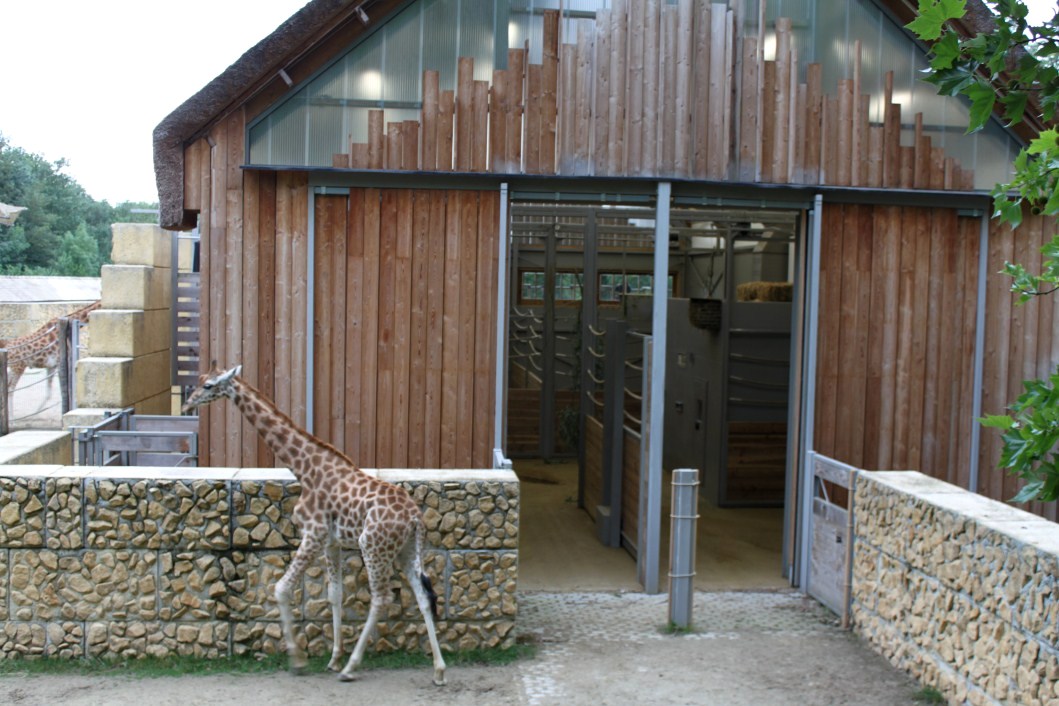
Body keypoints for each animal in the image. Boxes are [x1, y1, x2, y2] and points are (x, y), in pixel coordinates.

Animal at [182, 364, 447, 686]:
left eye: (208, 386)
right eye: (198, 381)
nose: (187, 404)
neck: (304, 468)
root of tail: (415, 518)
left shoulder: (313, 533)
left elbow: (281, 589)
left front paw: (298, 661)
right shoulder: (331, 542)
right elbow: (335, 596)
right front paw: (333, 658)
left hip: (372, 546)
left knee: (381, 598)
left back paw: (351, 668)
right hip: (406, 549)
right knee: (423, 596)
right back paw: (438, 670)